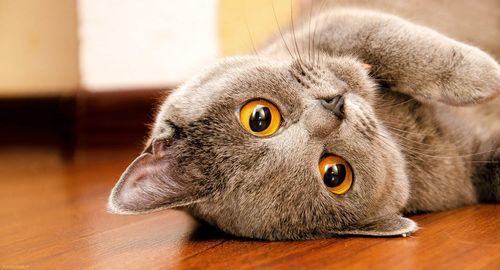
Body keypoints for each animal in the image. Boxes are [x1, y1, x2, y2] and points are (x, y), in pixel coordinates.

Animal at [106, 8, 500, 240]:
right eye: (334, 174)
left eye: (260, 118)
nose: (334, 106)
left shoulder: (327, 24)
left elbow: (378, 36)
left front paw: (483, 76)